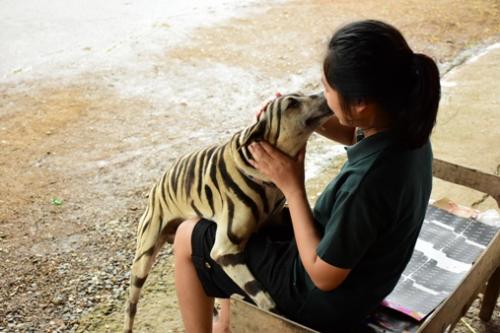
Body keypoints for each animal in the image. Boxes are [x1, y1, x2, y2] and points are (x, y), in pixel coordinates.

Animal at [124, 91, 332, 332]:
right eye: (291, 104)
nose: (324, 94)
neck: (263, 176)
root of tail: (158, 183)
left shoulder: (276, 218)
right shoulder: (225, 250)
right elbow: (264, 299)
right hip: (143, 261)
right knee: (130, 307)